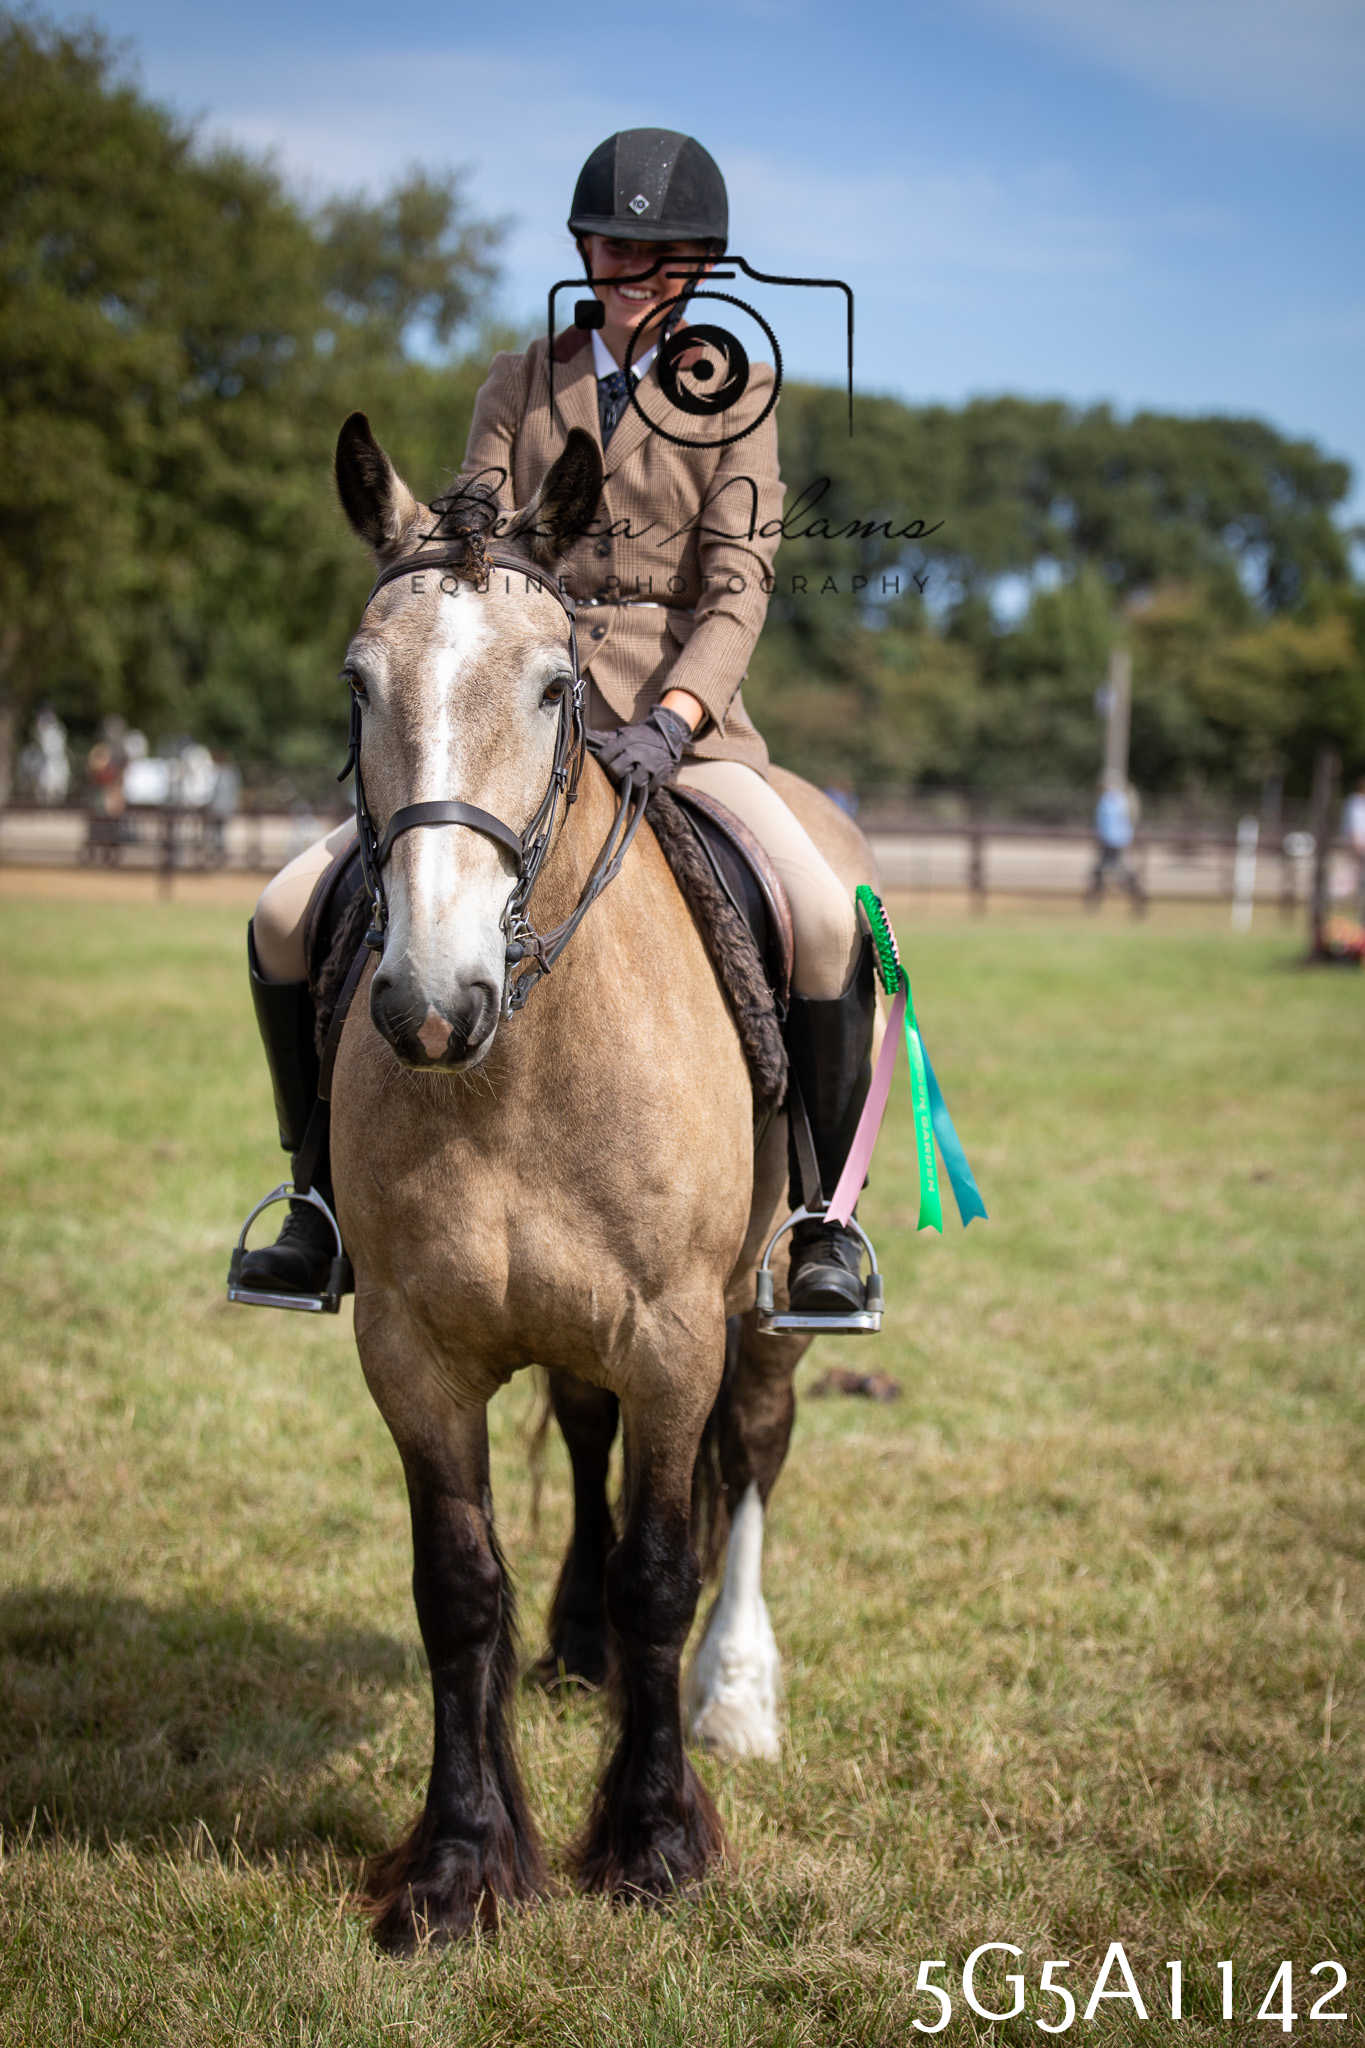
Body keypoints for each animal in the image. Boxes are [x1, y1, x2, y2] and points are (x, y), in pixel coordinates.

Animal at [328, 411, 875, 1949]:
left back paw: (734, 1693)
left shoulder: (677, 1331)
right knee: (586, 1440)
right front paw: (460, 1863)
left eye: (559, 685)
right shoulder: (411, 1349)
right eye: (358, 682)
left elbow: (661, 1563)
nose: (430, 1002)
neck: (512, 1065)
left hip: (759, 1307)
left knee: (750, 1458)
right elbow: (458, 1591)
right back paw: (576, 1651)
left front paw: (653, 1837)